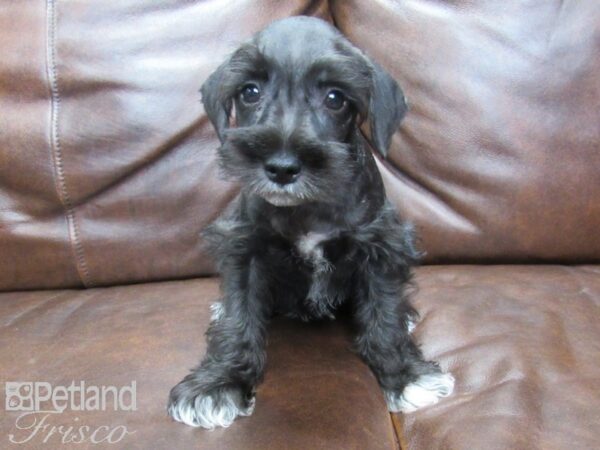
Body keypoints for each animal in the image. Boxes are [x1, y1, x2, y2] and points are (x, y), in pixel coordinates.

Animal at [166, 14, 452, 428]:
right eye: (249, 91)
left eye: (335, 98)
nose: (282, 167)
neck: (306, 208)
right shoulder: (244, 249)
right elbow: (239, 318)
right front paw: (218, 383)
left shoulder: (380, 249)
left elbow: (383, 315)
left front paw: (404, 374)